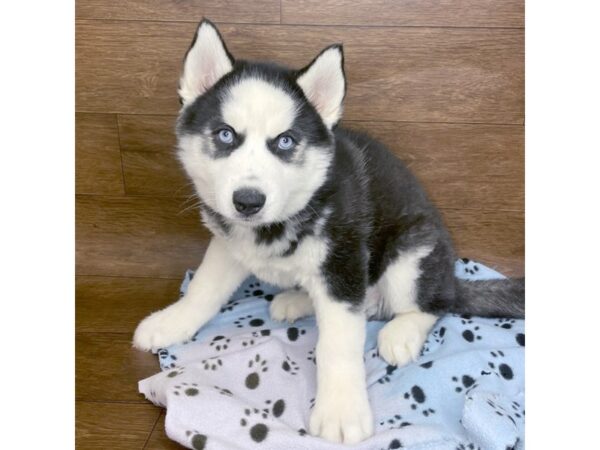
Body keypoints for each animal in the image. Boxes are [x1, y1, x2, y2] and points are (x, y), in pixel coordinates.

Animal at [132, 18, 524, 446]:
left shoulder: (343, 261)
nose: (248, 201)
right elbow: (203, 289)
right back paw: (296, 300)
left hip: (413, 253)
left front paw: (340, 411)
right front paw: (171, 322)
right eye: (224, 134)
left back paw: (401, 332)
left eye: (285, 141)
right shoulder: (229, 244)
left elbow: (338, 346)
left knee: (432, 303)